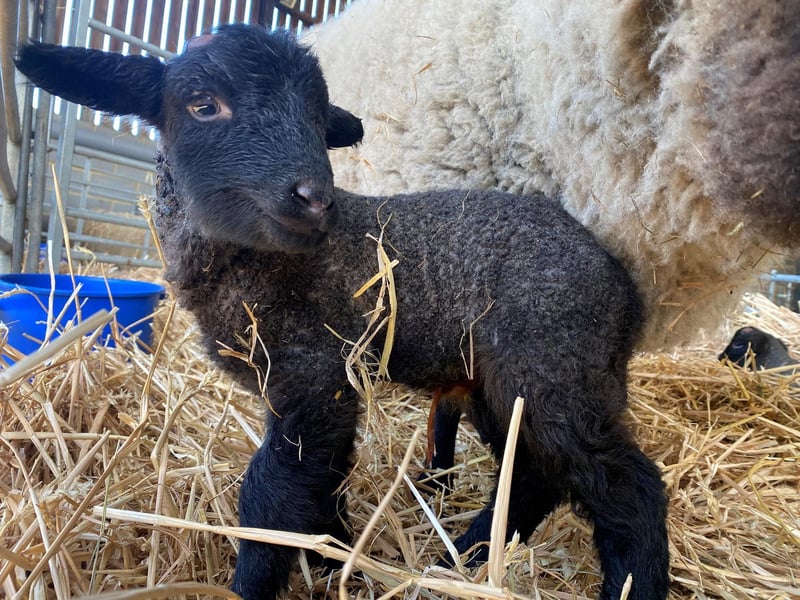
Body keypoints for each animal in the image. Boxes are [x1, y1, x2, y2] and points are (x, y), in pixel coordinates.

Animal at [15, 25, 669, 600]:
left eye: (315, 116)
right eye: (203, 106)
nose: (314, 198)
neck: (249, 263)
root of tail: (625, 287)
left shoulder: (315, 372)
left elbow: (271, 491)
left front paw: (253, 582)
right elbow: (316, 481)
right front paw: (332, 553)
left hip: (554, 363)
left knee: (624, 483)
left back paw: (623, 582)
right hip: (500, 382)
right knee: (534, 473)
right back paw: (464, 555)